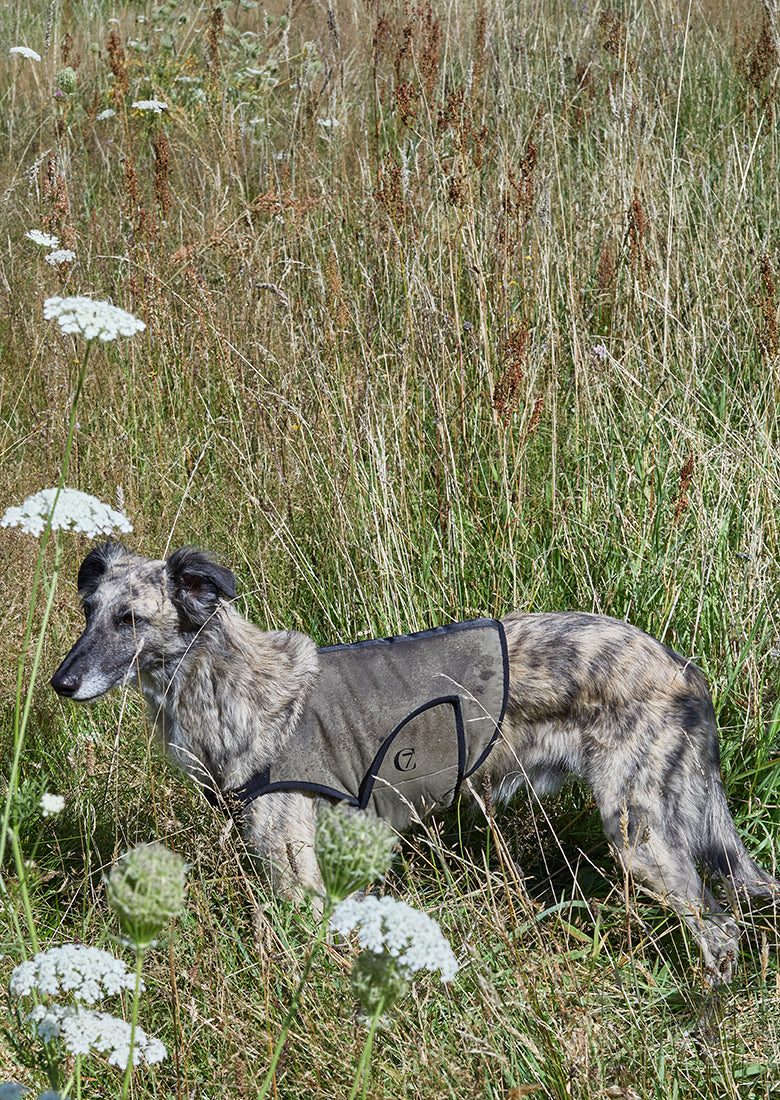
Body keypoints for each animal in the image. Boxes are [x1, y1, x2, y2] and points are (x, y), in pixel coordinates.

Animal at [51, 545, 774, 985]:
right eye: (87, 611)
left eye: (129, 618)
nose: (61, 683)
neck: (230, 684)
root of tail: (681, 667)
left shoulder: (295, 865)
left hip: (639, 837)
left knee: (721, 930)